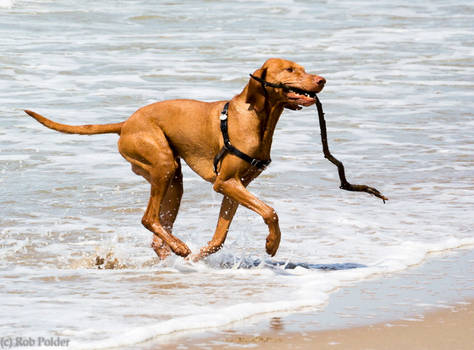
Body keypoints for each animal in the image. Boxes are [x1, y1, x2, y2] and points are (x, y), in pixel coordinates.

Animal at [25, 58, 326, 260]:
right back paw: (178, 245)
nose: (322, 80)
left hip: (174, 179)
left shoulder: (236, 186)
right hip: (162, 164)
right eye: (290, 70)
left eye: (303, 68)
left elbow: (221, 235)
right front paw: (272, 243)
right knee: (148, 218)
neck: (256, 117)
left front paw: (201, 256)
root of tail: (126, 123)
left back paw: (169, 250)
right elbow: (270, 211)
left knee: (158, 231)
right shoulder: (225, 182)